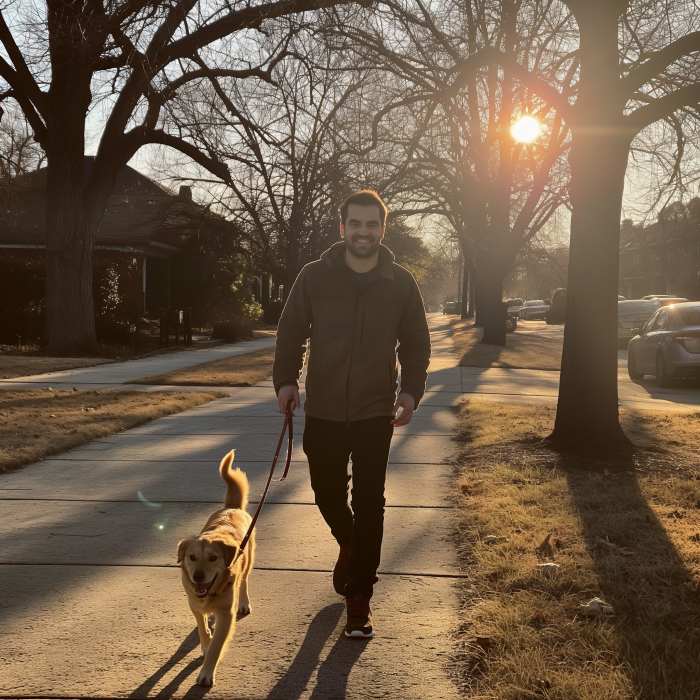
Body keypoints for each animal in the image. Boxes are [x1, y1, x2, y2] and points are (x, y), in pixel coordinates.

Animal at [176, 452, 256, 688]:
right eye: (192, 557)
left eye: (213, 558)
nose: (198, 576)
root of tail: (232, 507)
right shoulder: (194, 603)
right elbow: (201, 626)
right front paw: (205, 642)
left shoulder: (226, 615)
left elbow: (217, 647)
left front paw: (206, 672)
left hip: (249, 560)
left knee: (244, 582)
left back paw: (244, 602)